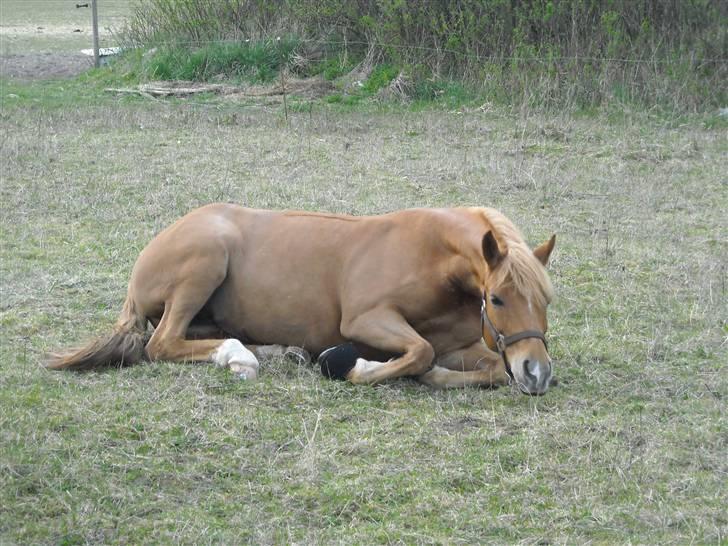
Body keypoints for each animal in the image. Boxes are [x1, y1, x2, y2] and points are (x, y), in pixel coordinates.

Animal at [47, 204, 556, 395]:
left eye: (546, 300)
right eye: (498, 299)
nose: (537, 372)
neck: (429, 257)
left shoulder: (464, 346)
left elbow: (488, 369)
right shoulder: (365, 320)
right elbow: (419, 352)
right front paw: (349, 364)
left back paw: (279, 350)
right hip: (205, 262)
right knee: (162, 344)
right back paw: (241, 359)